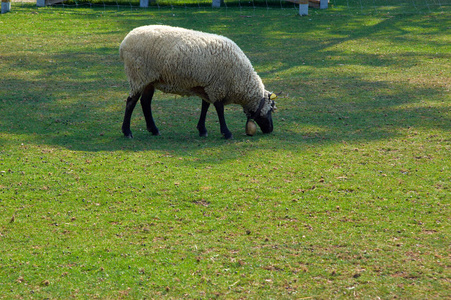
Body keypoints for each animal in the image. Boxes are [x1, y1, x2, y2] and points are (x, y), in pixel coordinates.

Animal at [119, 24, 276, 139]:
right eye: (271, 110)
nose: (270, 129)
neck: (241, 80)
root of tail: (124, 42)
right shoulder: (217, 86)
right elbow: (219, 109)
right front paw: (226, 132)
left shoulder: (207, 86)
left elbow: (205, 106)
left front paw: (202, 129)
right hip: (138, 76)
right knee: (131, 102)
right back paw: (127, 132)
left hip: (149, 80)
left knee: (145, 102)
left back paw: (154, 130)